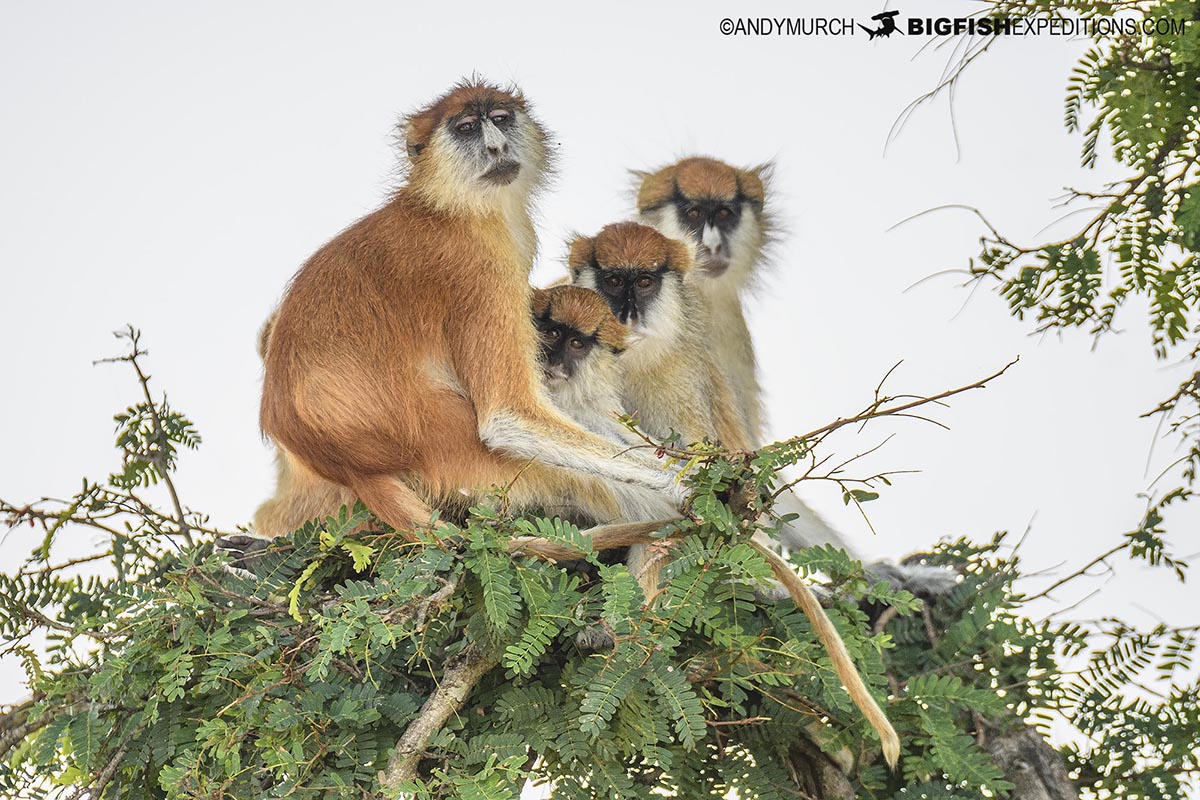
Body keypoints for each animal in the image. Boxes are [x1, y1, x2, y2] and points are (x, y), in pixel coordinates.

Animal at [244, 81, 686, 544]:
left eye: (501, 119)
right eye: (467, 127)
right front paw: (683, 480)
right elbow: (508, 419)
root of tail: (349, 465)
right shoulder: (480, 271)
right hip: (451, 447)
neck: (448, 206)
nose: (496, 147)